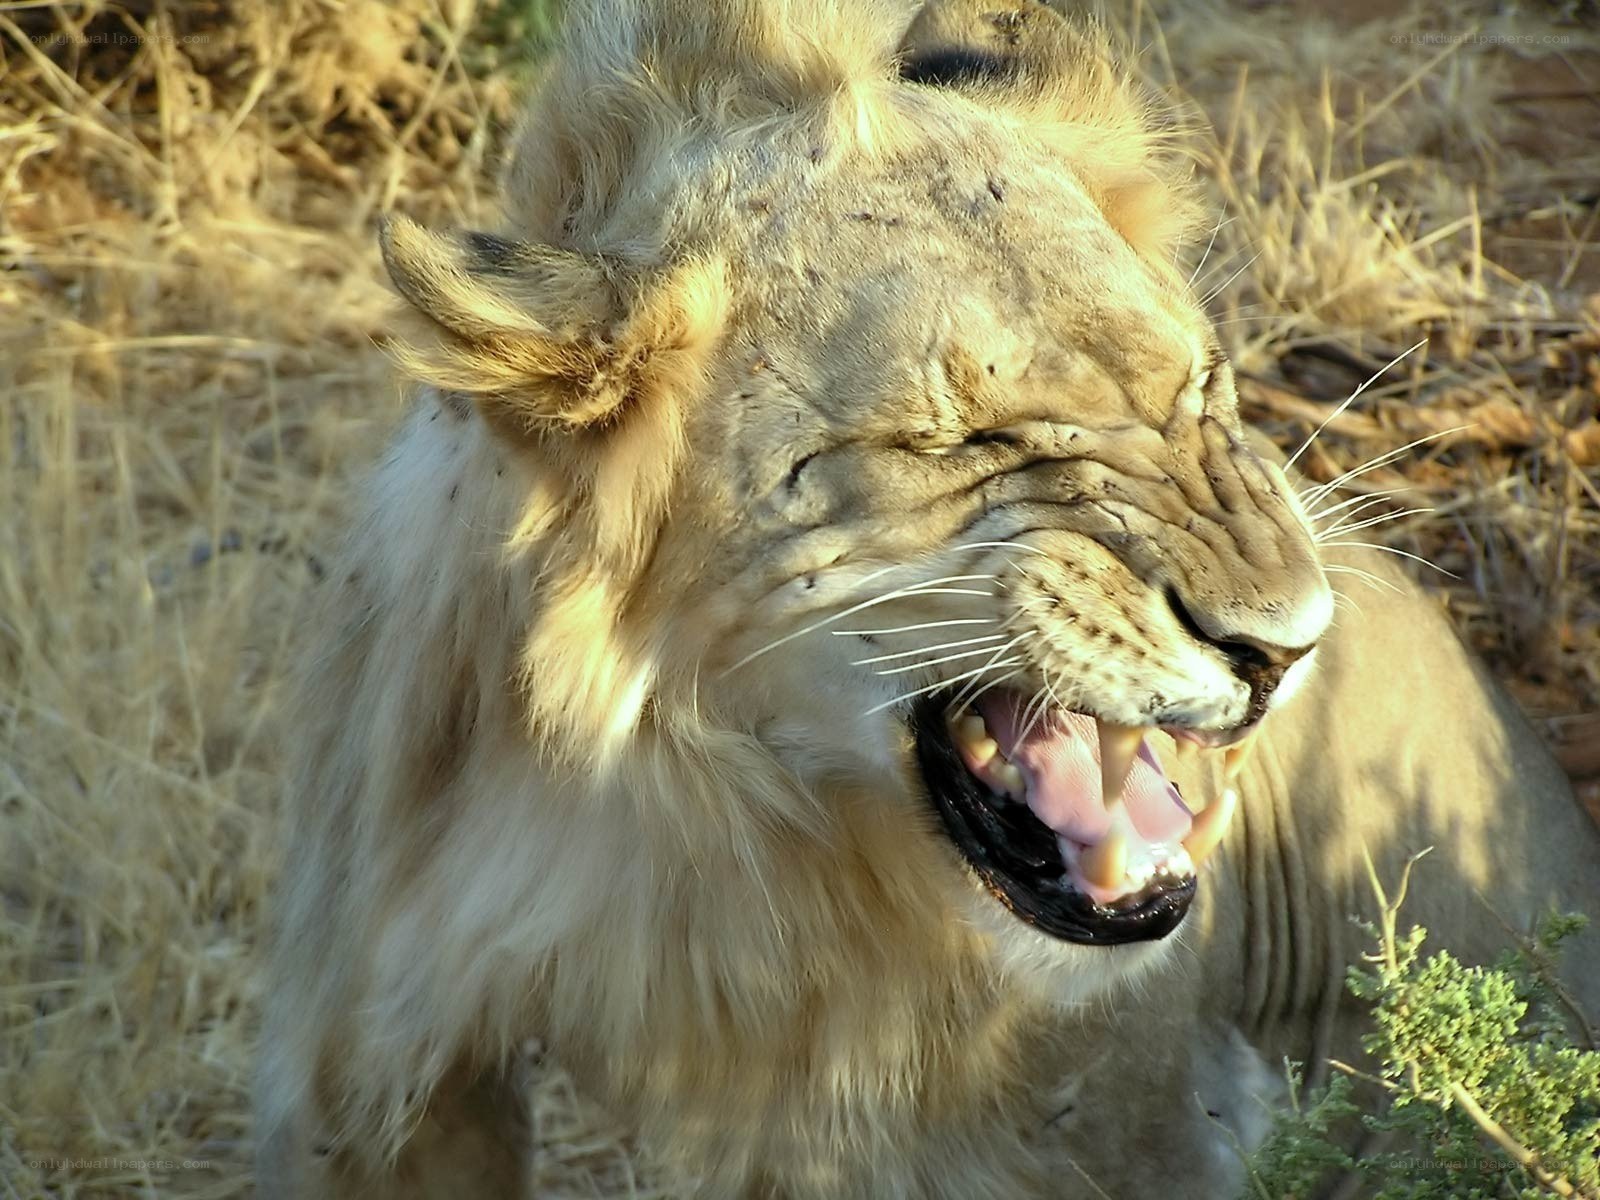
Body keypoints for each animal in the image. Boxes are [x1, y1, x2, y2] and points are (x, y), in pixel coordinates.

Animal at [253, 1, 1600, 1196]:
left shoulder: (1108, 1126)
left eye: (1199, 386)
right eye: (966, 439)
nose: (1284, 647)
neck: (684, 802)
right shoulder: (369, 1060)